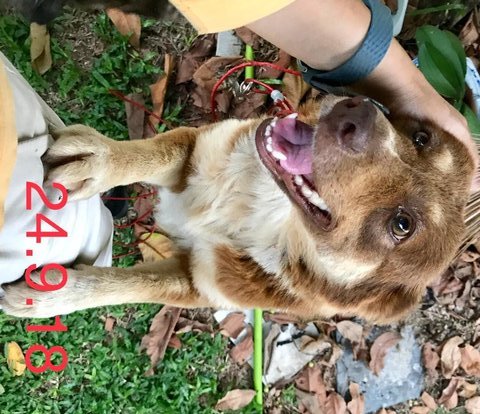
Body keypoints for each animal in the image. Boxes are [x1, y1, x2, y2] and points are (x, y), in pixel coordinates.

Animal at [0, 95, 474, 322]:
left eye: (402, 225)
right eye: (421, 139)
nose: (355, 112)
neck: (263, 212)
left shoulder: (194, 282)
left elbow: (122, 287)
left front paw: (51, 296)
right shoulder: (195, 148)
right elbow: (144, 153)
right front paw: (97, 161)